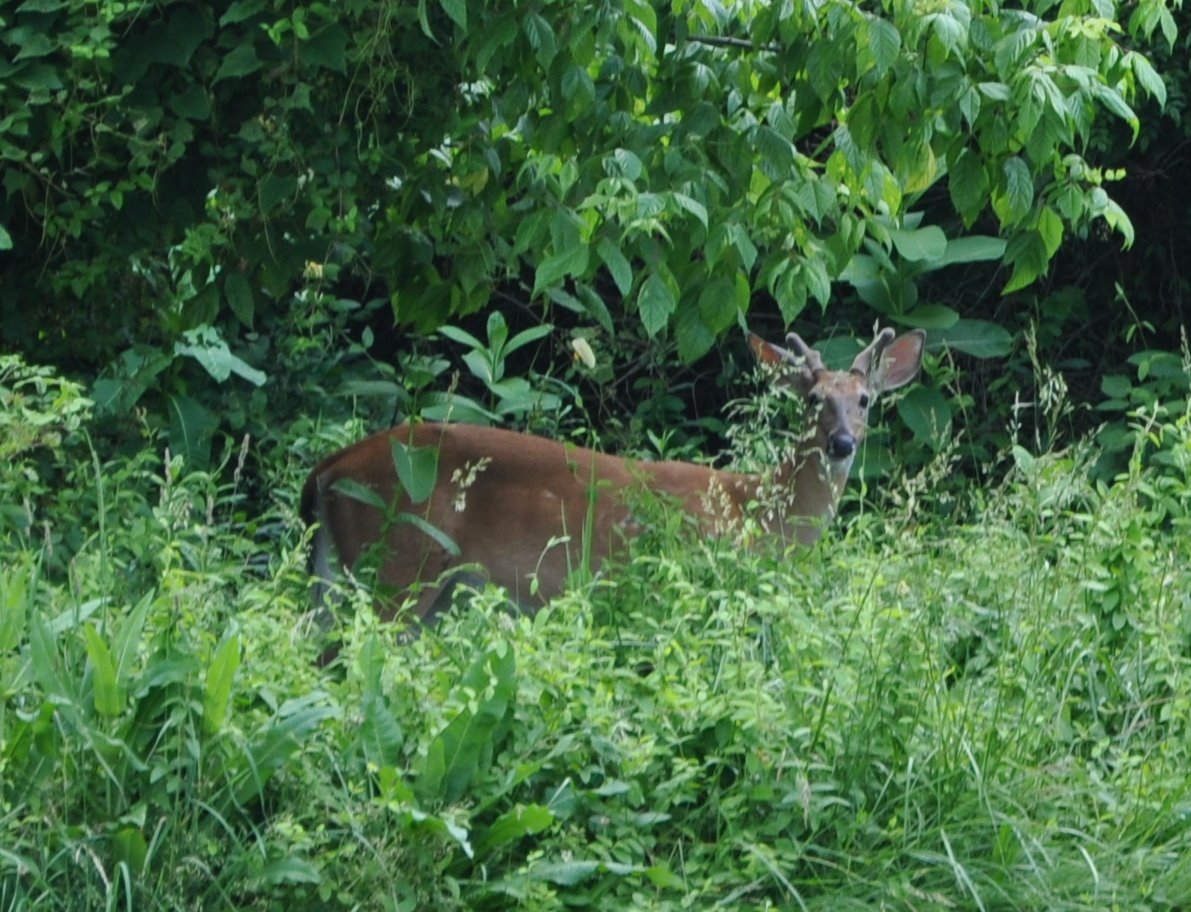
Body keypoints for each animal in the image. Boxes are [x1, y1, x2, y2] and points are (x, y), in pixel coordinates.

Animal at [300, 327, 925, 625]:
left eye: (865, 400)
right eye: (813, 399)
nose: (841, 443)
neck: (759, 509)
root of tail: (329, 467)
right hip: (399, 562)